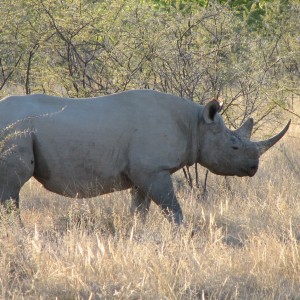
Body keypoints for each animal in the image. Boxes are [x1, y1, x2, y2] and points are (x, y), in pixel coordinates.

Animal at [0, 90, 290, 224]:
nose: (253, 168)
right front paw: (182, 237)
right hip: (14, 129)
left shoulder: (142, 173)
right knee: (12, 188)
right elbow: (172, 208)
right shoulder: (153, 170)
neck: (195, 124)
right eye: (234, 147)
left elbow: (139, 211)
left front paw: (135, 234)